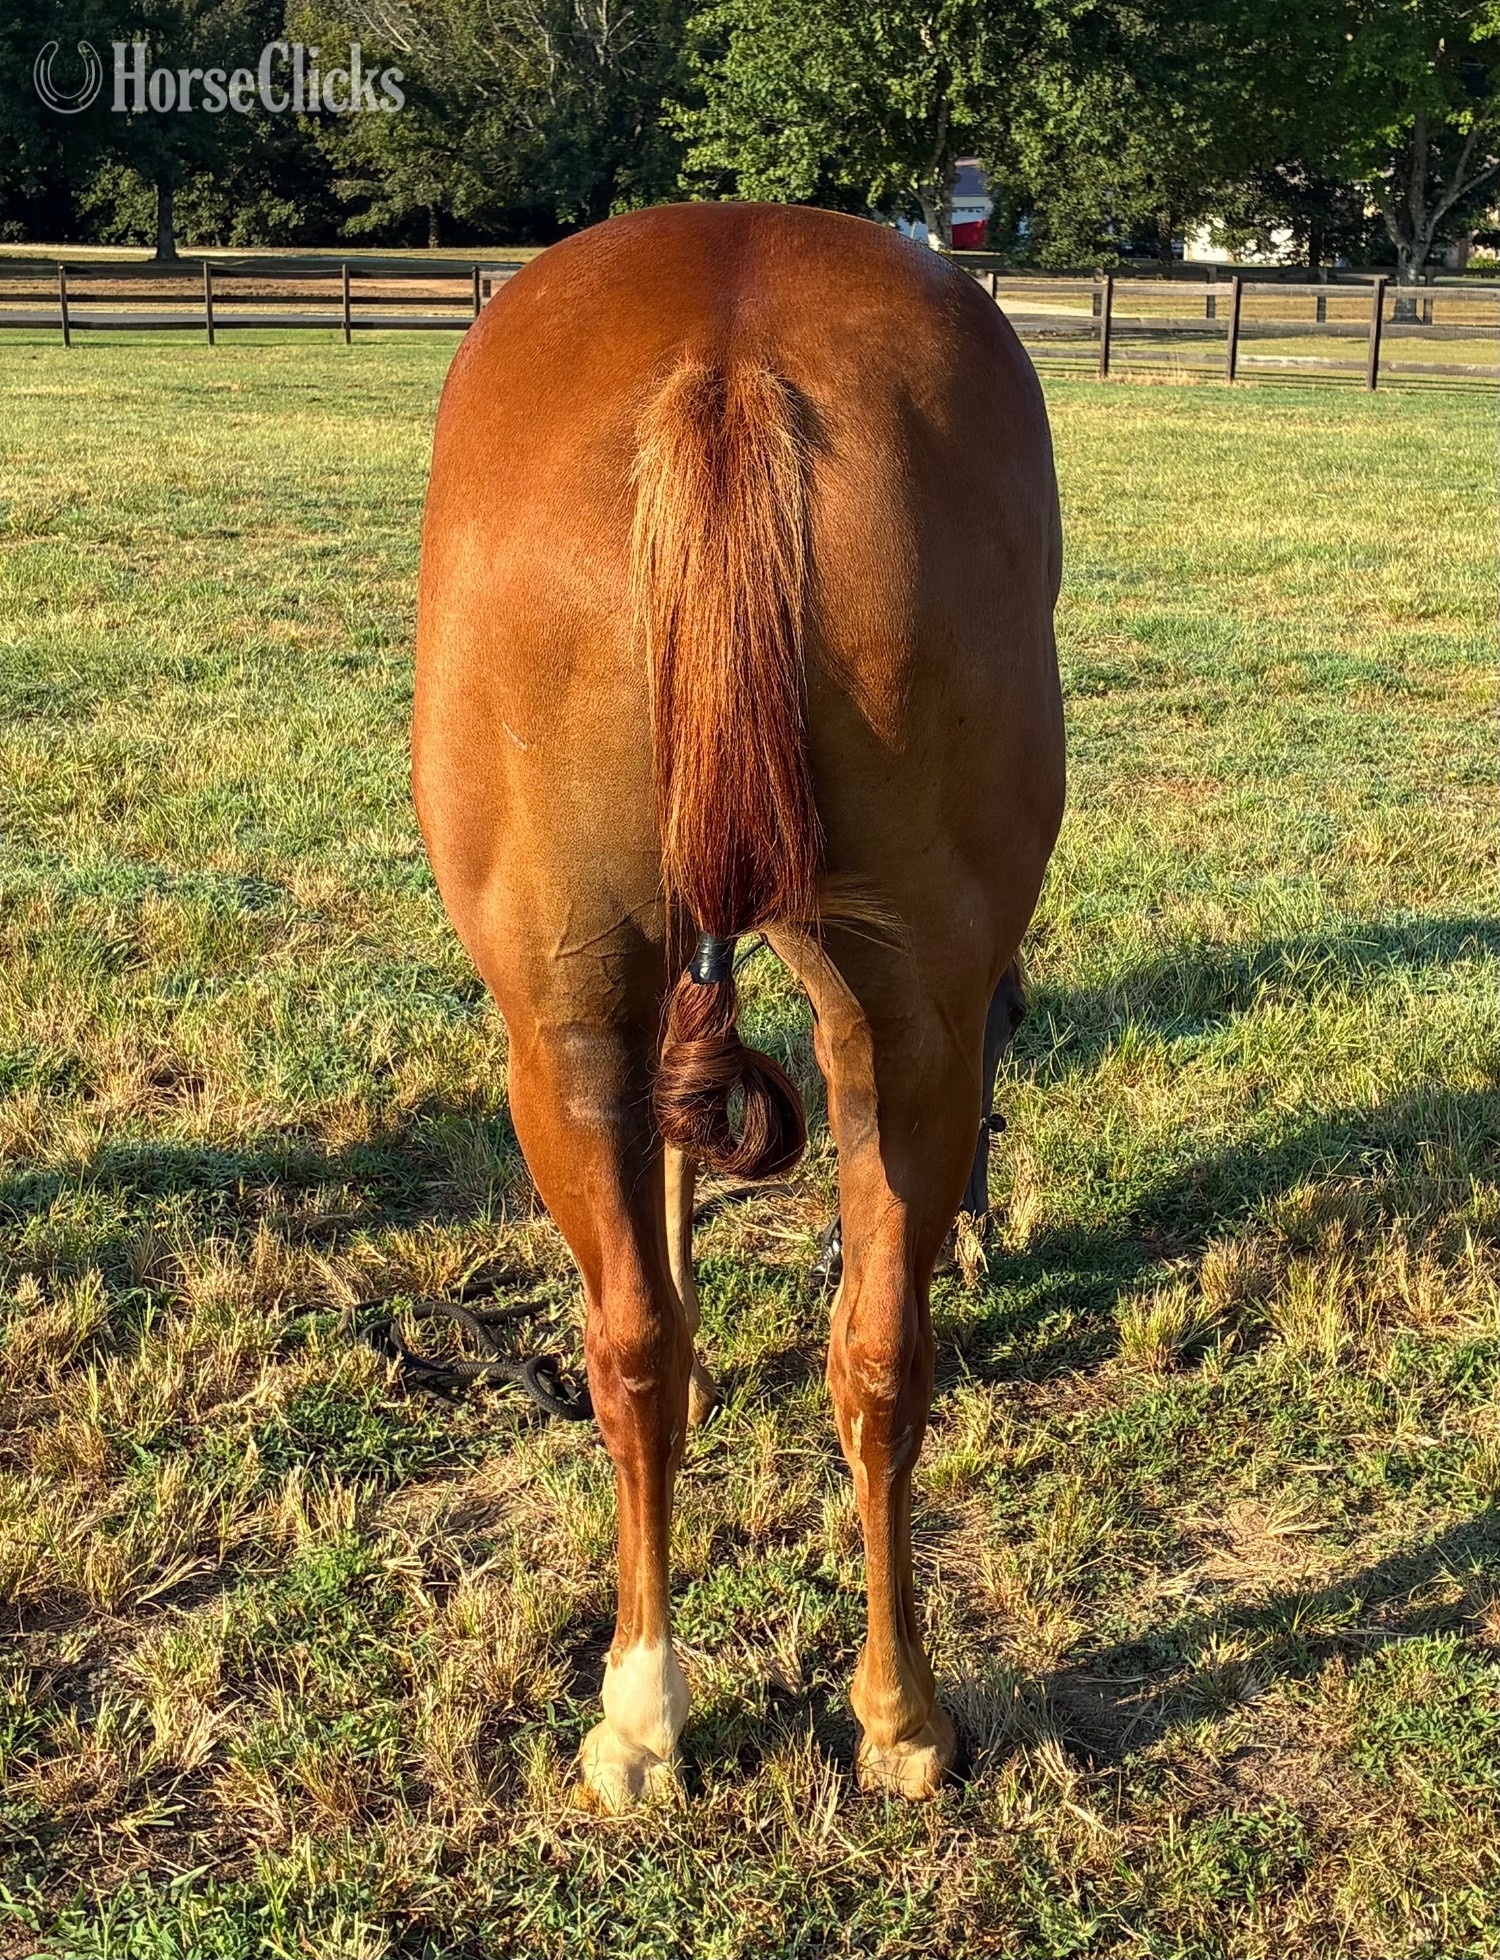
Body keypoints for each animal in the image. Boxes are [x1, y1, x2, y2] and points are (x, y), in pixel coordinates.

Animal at [412, 201, 1064, 1809]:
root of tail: (727, 367)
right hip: (892, 1022)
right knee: (865, 1351)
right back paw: (881, 1716)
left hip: (564, 1025)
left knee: (643, 1340)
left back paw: (673, 1710)